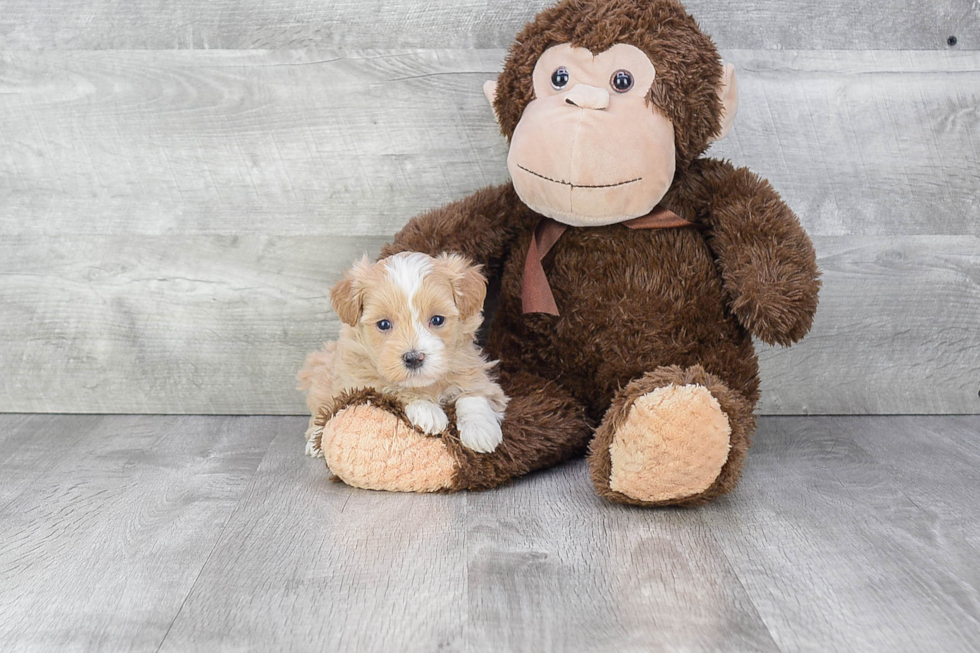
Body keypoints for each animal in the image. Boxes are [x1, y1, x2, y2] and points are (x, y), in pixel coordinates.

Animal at [296, 252, 512, 456]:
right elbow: (391, 386)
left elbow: (474, 393)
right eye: (384, 324)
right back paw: (315, 441)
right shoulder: (359, 378)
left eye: (437, 319)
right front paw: (427, 410)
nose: (414, 358)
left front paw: (480, 430)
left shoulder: (472, 366)